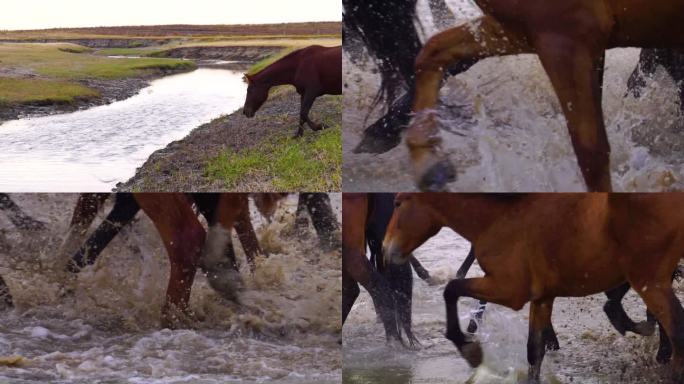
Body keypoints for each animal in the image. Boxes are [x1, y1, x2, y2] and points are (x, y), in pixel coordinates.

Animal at [382, 194, 684, 382]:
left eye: (397, 203)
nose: (385, 250)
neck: (501, 216)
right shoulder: (542, 297)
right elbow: (534, 352)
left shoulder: (510, 290)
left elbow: (452, 288)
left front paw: (469, 349)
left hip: (649, 281)